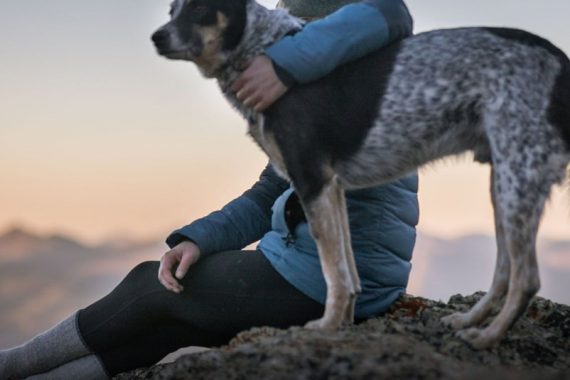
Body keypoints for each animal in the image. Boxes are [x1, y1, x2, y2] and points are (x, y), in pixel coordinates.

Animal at [151, 0, 568, 350]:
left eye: (201, 8)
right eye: (172, 10)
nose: (157, 37)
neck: (259, 49)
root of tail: (559, 61)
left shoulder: (312, 181)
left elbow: (332, 271)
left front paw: (324, 327)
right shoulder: (332, 190)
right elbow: (347, 272)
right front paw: (342, 324)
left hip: (518, 179)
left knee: (527, 278)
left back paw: (487, 338)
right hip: (504, 185)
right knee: (503, 271)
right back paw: (468, 321)